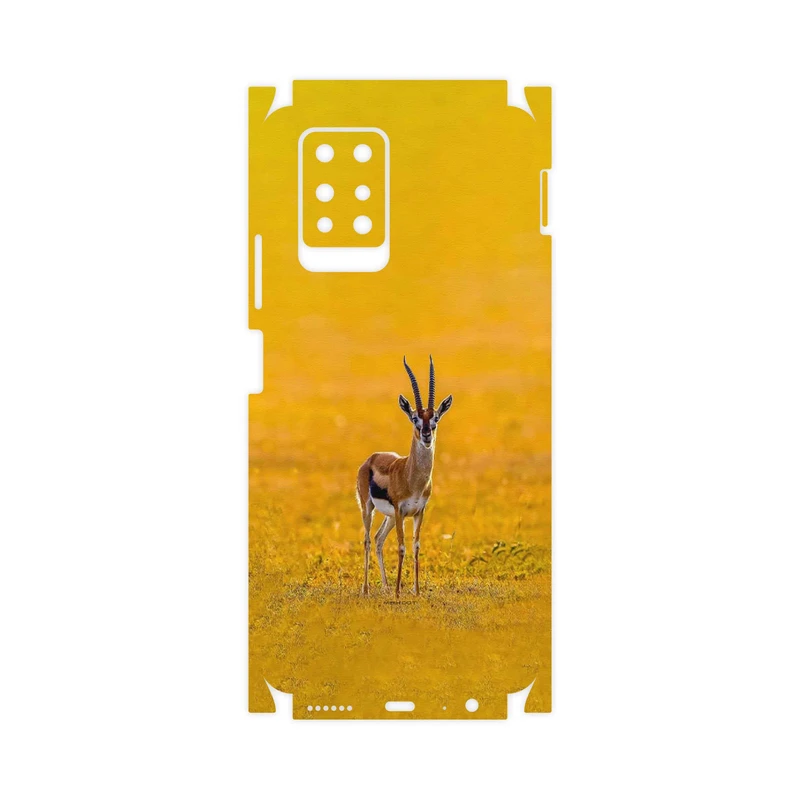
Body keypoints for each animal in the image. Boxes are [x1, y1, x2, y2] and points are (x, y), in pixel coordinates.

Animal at [356, 356, 453, 597]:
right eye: (414, 418)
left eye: (435, 418)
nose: (426, 434)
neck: (413, 479)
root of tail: (372, 457)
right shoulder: (401, 511)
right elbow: (401, 547)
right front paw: (400, 592)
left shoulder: (419, 512)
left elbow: (415, 546)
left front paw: (416, 591)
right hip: (368, 508)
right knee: (367, 540)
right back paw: (367, 589)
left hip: (390, 517)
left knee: (378, 539)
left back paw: (385, 587)